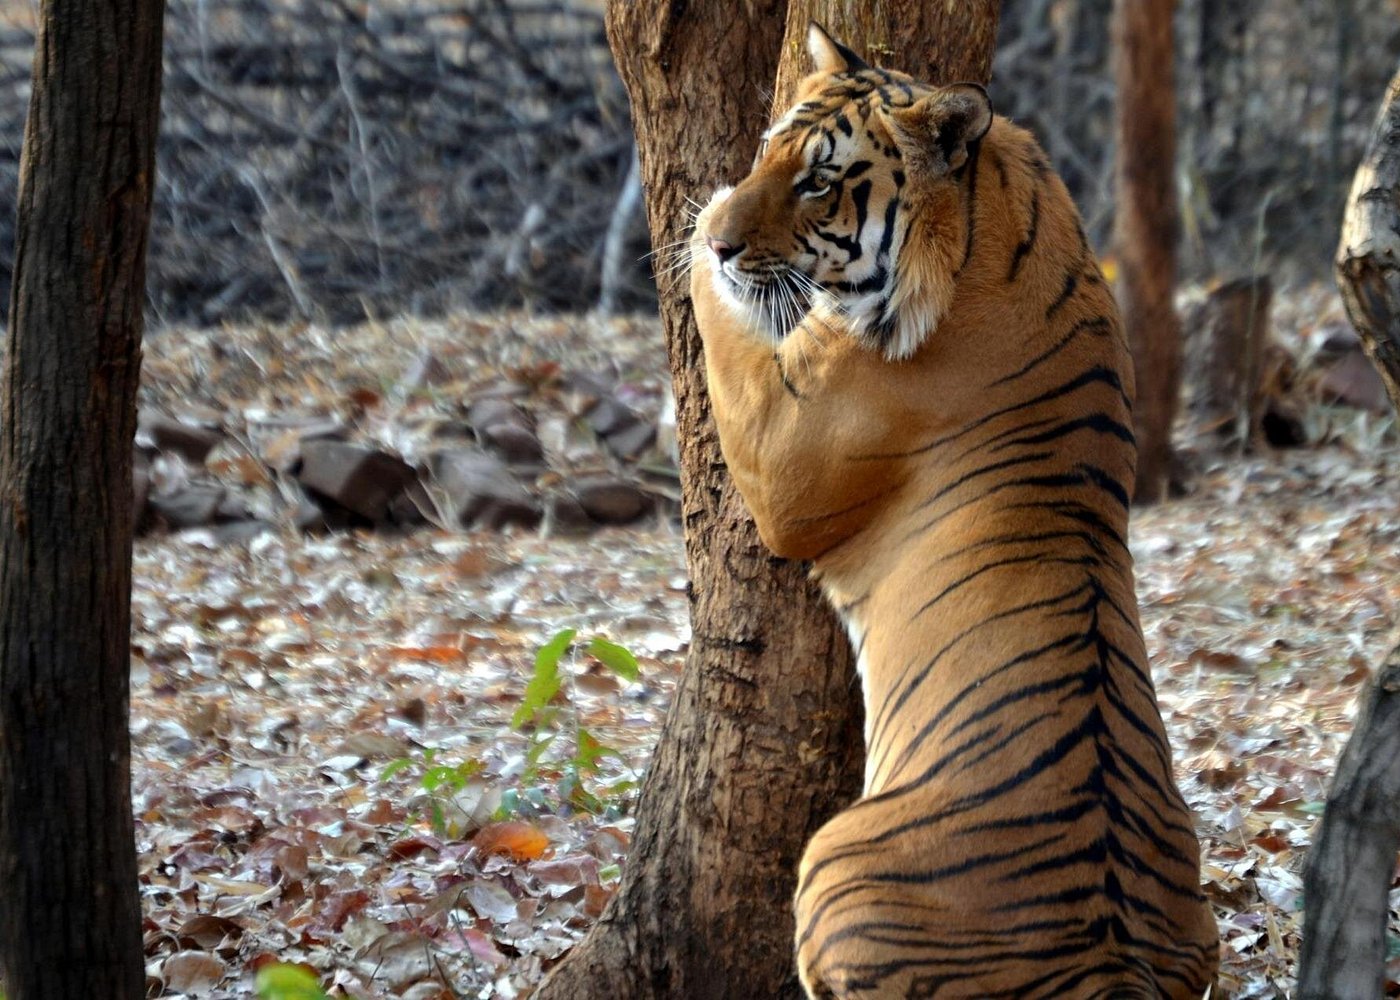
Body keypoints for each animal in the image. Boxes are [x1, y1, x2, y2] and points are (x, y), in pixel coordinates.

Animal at [686, 24, 1219, 1000]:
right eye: (768, 151)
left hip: (833, 865)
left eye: (817, 181)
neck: (996, 214)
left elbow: (727, 332)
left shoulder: (782, 451)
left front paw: (694, 226)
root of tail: (1110, 965)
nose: (720, 242)